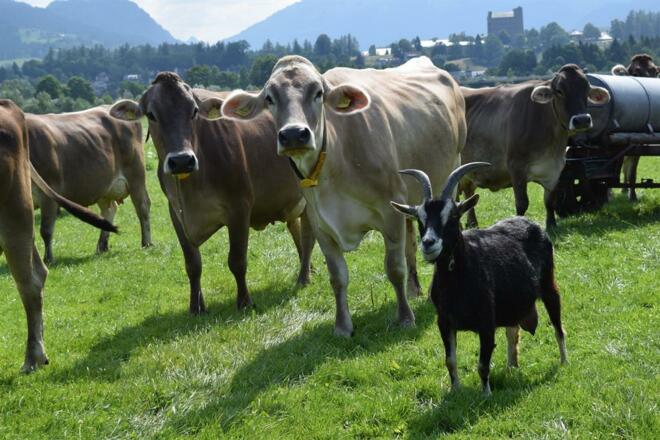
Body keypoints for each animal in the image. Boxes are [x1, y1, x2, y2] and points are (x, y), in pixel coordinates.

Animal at [27, 107, 151, 263]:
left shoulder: (49, 194)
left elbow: (46, 231)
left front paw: (48, 259)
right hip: (103, 187)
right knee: (109, 209)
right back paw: (102, 246)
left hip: (136, 176)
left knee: (143, 207)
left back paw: (147, 243)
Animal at [108, 72, 314, 314]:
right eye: (151, 114)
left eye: (194, 111)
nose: (181, 160)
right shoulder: (176, 213)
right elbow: (192, 264)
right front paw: (196, 306)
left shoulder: (239, 207)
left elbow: (237, 260)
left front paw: (244, 301)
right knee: (296, 229)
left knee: (308, 237)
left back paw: (303, 278)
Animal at [217, 56, 466, 337]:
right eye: (270, 97)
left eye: (318, 93)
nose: (293, 134)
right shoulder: (320, 223)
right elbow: (337, 277)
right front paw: (342, 326)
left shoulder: (390, 210)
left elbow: (394, 268)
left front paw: (404, 318)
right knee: (411, 242)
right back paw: (414, 290)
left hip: (451, 172)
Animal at [459, 64, 611, 229]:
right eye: (559, 91)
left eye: (586, 89)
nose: (582, 120)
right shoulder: (516, 168)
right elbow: (522, 203)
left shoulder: (554, 169)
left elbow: (550, 201)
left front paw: (551, 225)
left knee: (468, 192)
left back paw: (472, 223)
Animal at [612, 54, 659, 202]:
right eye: (635, 73)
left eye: (655, 71)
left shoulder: (638, 146)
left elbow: (633, 171)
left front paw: (632, 195)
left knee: (626, 166)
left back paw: (624, 189)